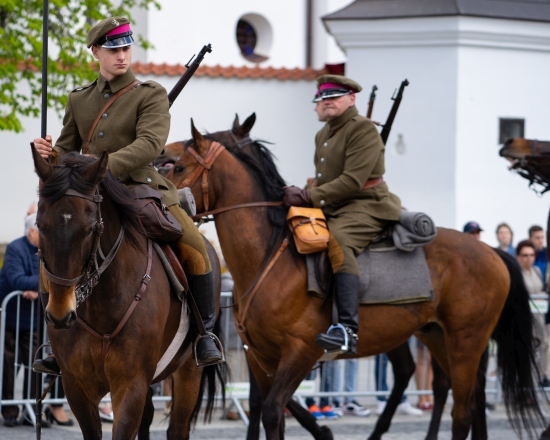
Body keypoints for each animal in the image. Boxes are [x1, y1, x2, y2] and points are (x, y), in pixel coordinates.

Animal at [163, 124, 544, 440]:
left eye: (179, 167)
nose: (161, 154)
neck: (269, 254)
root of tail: (491, 251)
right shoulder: (259, 357)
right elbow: (268, 408)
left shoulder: (301, 352)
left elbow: (272, 410)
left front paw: (323, 432)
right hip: (437, 335)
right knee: (461, 392)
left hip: (466, 340)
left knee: (461, 410)